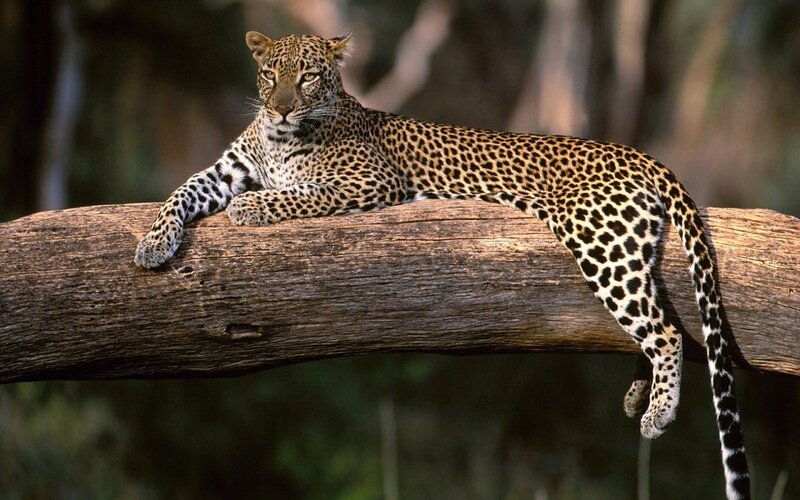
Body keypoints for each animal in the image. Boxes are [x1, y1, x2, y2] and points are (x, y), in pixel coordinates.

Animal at [134, 32, 750, 499]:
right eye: (269, 73)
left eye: (307, 77)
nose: (282, 106)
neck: (280, 137)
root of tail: (634, 151)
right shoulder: (224, 171)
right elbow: (180, 191)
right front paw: (152, 245)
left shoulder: (368, 181)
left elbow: (296, 194)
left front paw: (251, 209)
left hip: (600, 242)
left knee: (667, 331)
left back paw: (657, 413)